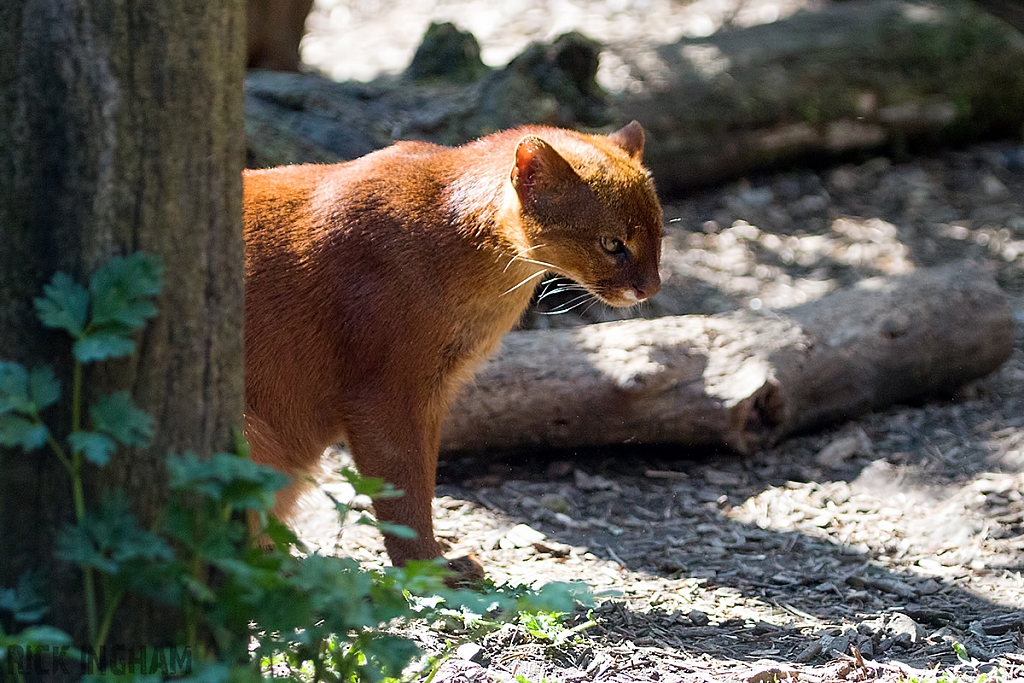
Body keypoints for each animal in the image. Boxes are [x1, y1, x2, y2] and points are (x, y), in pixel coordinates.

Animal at [245, 121, 663, 573]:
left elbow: (423, 480)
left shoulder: (433, 393)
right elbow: (404, 490)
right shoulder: (386, 393)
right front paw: (430, 569)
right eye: (611, 243)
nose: (652, 287)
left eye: (659, 235)